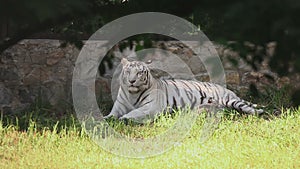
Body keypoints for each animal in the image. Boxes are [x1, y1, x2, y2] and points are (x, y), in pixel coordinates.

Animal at [103, 58, 262, 121]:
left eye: (139, 73)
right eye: (128, 72)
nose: (131, 81)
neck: (132, 94)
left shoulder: (152, 107)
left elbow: (135, 112)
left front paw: (124, 119)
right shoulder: (118, 107)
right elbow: (110, 115)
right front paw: (104, 120)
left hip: (230, 100)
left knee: (248, 108)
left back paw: (260, 113)